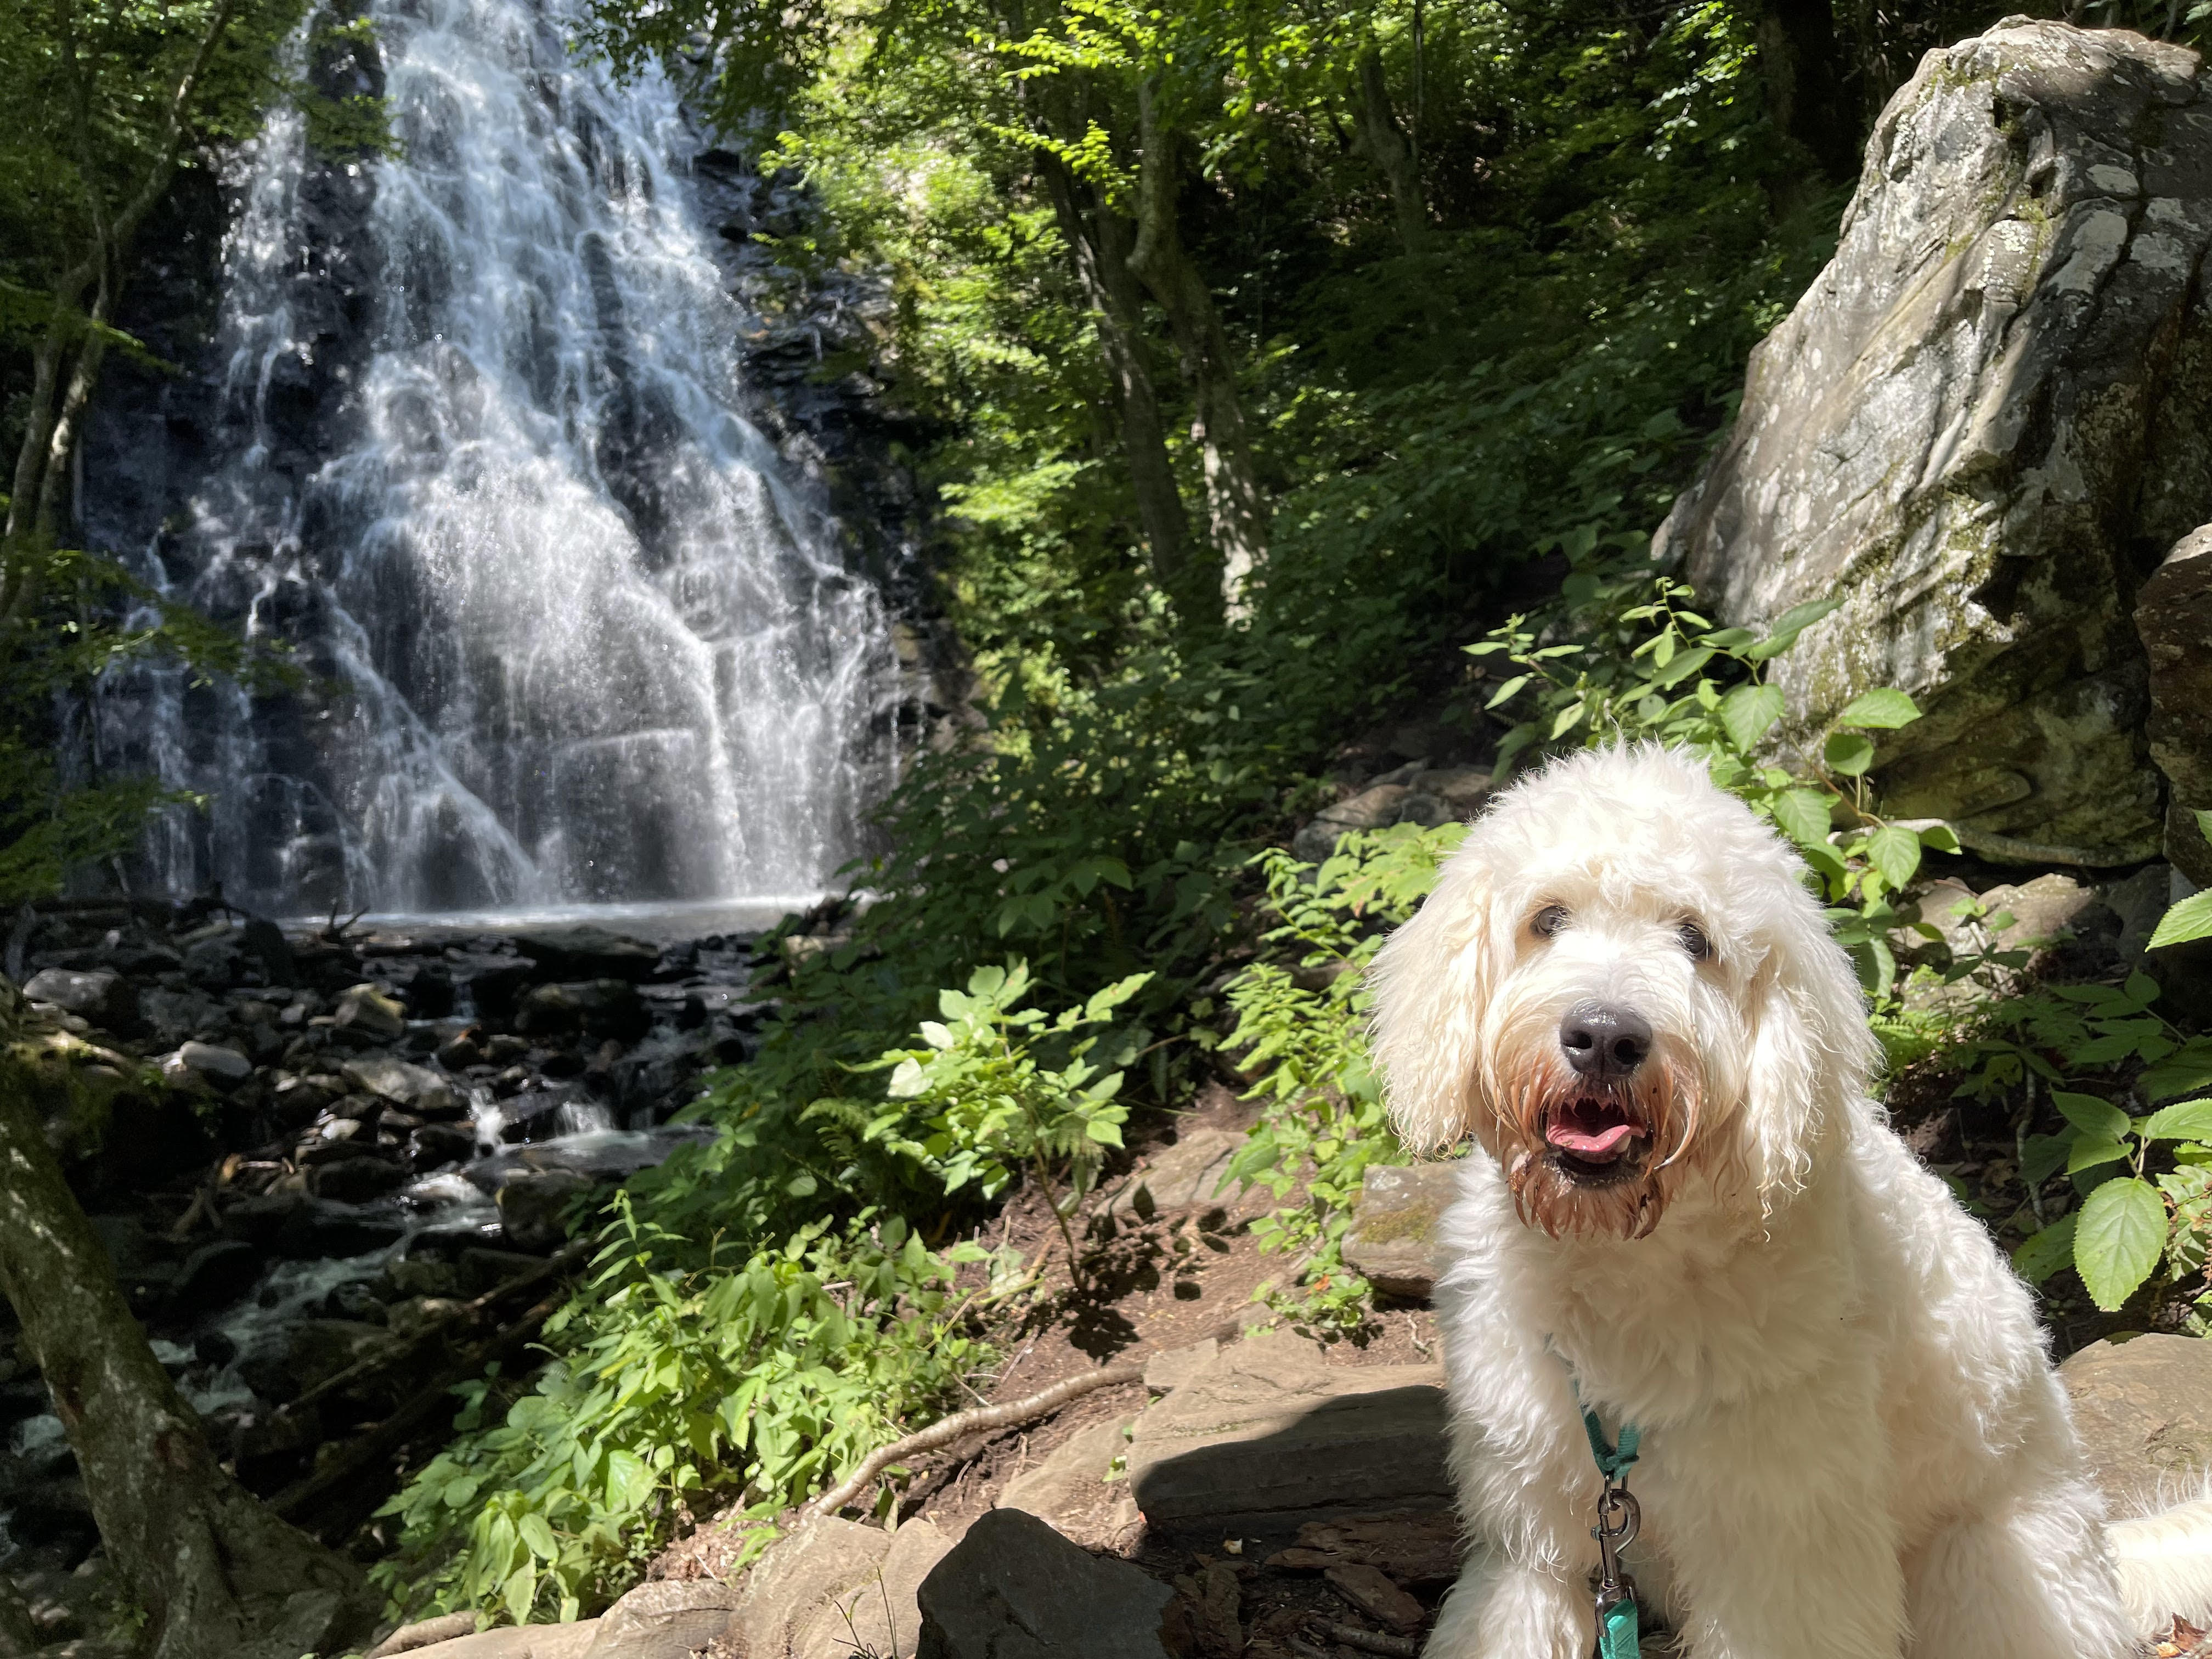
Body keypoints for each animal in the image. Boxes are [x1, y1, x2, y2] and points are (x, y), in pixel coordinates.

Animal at [1362, 752, 2212, 1659]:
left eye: (1694, 939)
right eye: (1546, 919)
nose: (1605, 1038)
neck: (1625, 1257)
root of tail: (2104, 1559)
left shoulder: (1785, 1554)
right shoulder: (1532, 1545)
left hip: (1987, 1564)